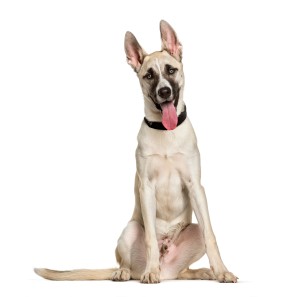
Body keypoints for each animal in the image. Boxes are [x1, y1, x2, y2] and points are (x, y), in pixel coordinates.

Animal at [34, 20, 237, 282]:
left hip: (193, 232)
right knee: (129, 264)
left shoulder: (196, 187)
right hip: (130, 230)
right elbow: (150, 237)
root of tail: (167, 270)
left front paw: (222, 271)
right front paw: (150, 271)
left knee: (186, 265)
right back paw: (129, 271)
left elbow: (211, 235)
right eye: (149, 76)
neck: (165, 132)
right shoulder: (146, 188)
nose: (164, 91)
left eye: (171, 70)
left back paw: (202, 272)